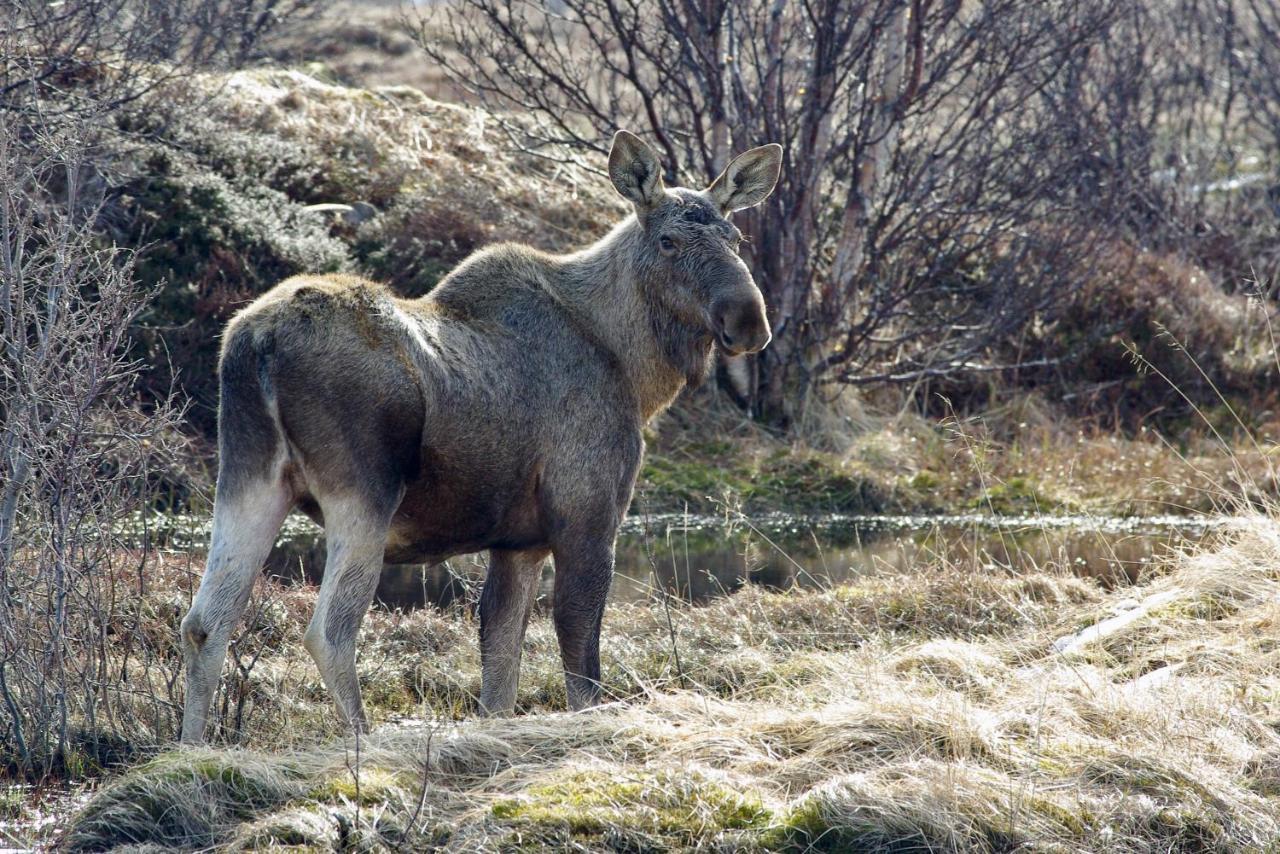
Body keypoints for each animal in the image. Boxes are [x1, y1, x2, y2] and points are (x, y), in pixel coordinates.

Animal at [179, 128, 778, 742]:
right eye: (668, 241)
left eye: (734, 237)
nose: (748, 320)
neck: (633, 367)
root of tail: (257, 344)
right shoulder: (587, 513)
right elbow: (579, 656)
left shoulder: (519, 543)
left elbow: (499, 670)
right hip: (363, 493)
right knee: (329, 631)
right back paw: (361, 742)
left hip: (248, 477)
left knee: (206, 621)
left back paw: (193, 748)